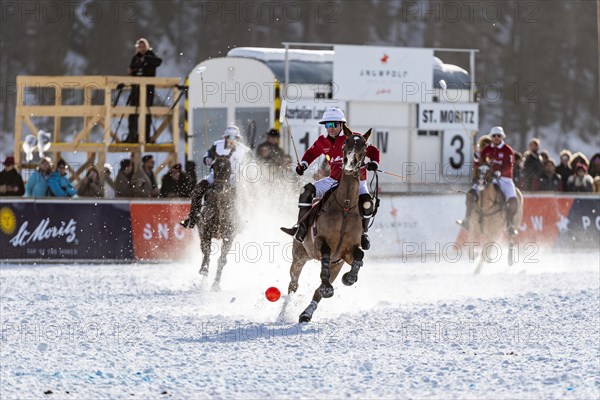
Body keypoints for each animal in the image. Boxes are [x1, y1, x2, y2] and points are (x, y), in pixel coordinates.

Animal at [197, 154, 234, 290]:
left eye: (229, 168)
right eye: (213, 166)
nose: (219, 188)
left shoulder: (229, 236)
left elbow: (222, 259)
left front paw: (216, 284)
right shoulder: (206, 231)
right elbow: (207, 252)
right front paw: (204, 270)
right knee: (203, 250)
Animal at [282, 126, 370, 324]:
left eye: (364, 146)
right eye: (345, 145)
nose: (349, 164)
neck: (345, 206)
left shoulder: (346, 253)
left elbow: (359, 256)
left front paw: (350, 278)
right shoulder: (321, 243)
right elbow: (324, 262)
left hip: (336, 265)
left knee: (316, 292)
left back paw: (306, 314)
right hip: (299, 256)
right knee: (293, 285)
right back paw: (283, 312)